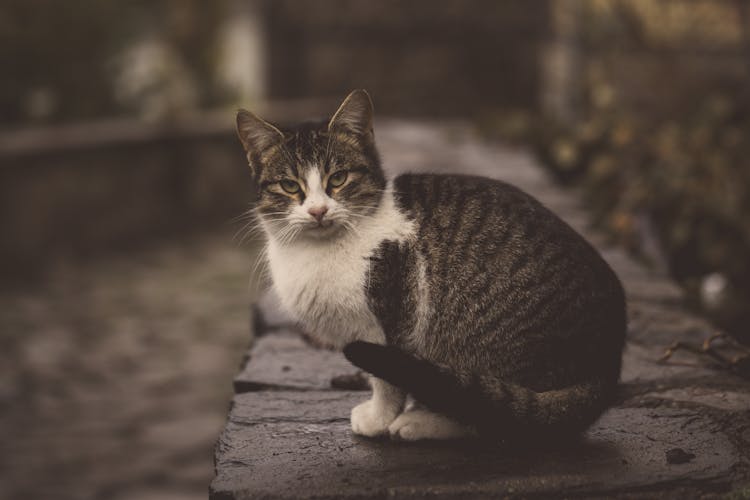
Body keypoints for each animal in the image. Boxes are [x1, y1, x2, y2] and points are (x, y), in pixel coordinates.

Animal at [236, 90, 628, 442]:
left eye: (338, 179)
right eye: (290, 185)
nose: (318, 211)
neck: (317, 250)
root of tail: (607, 365)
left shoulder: (386, 323)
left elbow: (387, 379)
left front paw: (379, 418)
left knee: (491, 410)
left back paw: (421, 423)